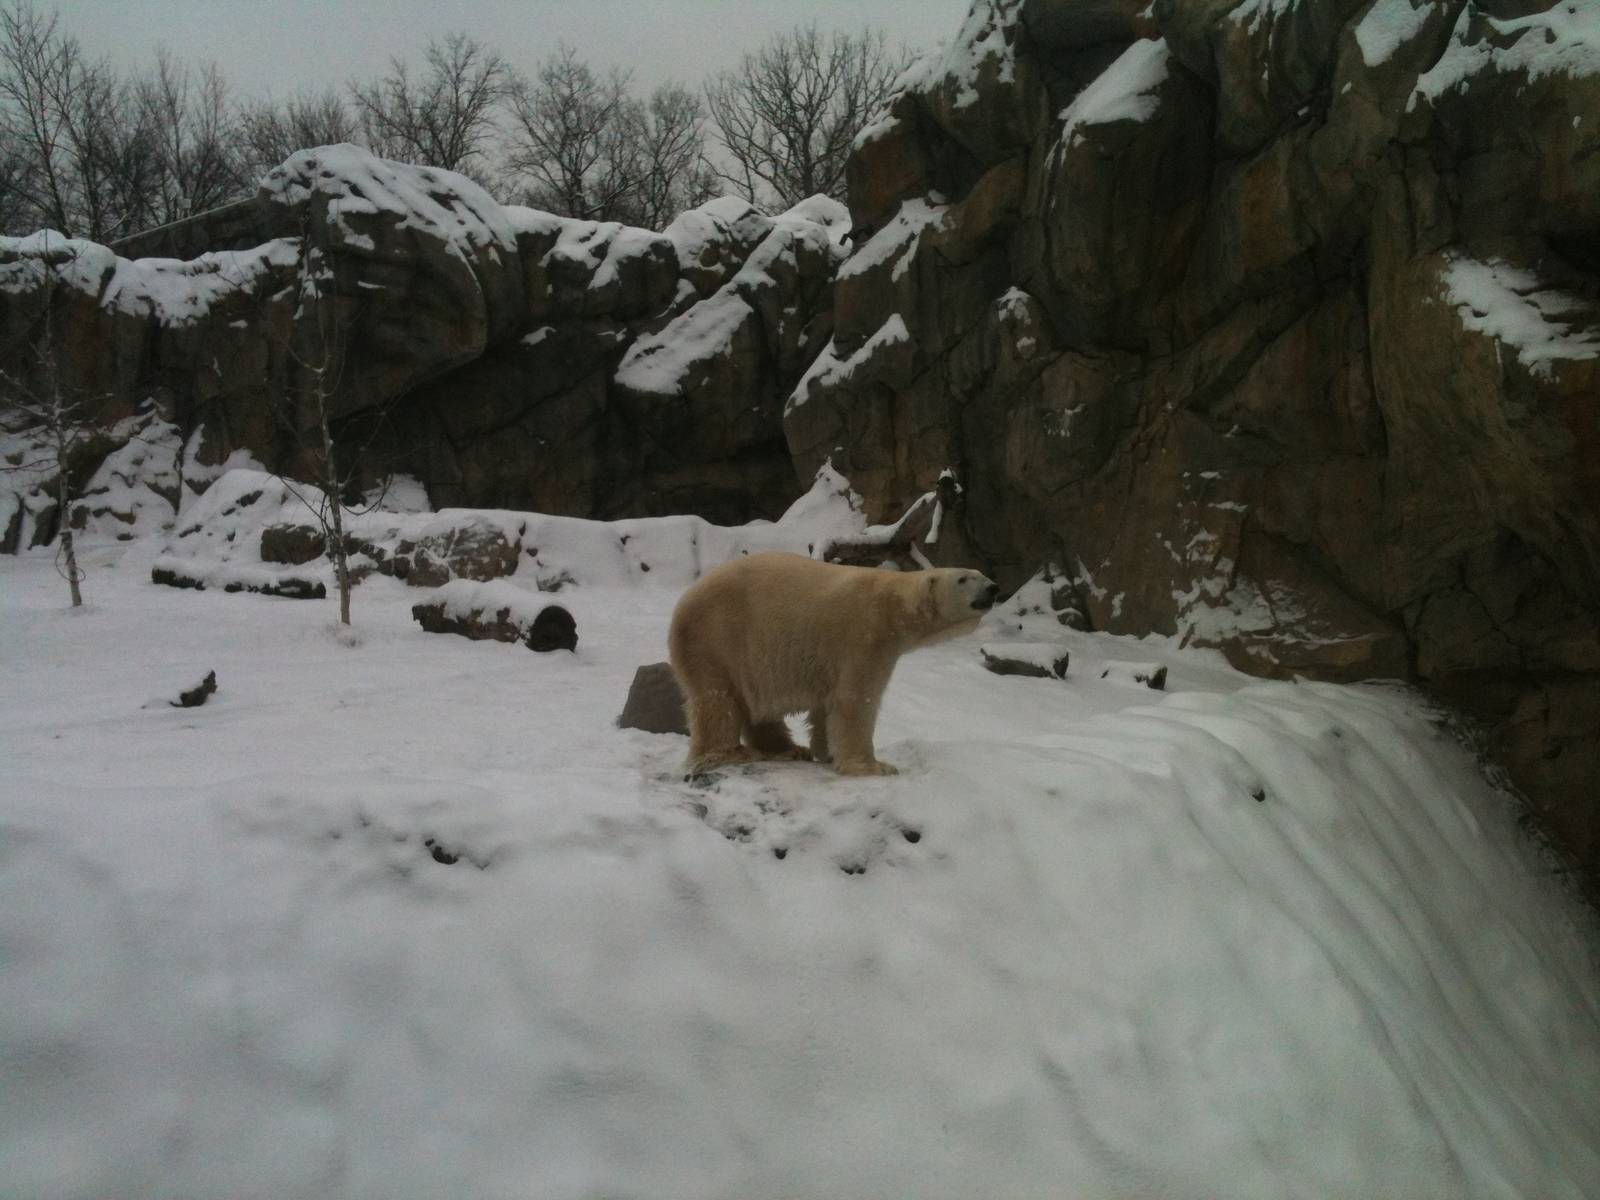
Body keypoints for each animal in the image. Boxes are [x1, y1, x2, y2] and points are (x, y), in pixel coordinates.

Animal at [668, 552, 999, 777]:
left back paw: (788, 749)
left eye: (980, 572)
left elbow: (826, 705)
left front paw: (825, 751)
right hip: (716, 639)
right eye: (963, 578)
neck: (893, 604)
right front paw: (873, 766)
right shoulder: (865, 636)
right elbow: (855, 700)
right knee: (717, 699)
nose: (993, 587)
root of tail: (682, 603)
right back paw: (727, 753)